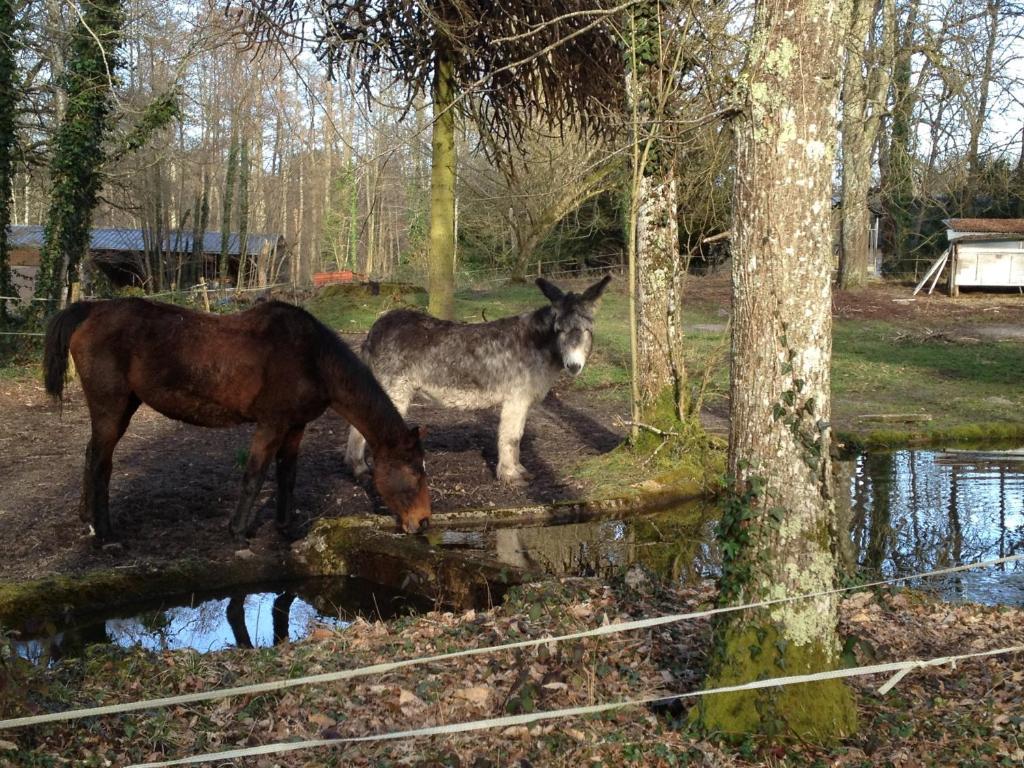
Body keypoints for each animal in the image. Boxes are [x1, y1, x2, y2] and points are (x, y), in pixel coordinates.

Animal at [43, 296, 428, 544]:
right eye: (413, 474)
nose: (423, 523)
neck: (312, 359)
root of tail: (91, 309)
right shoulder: (271, 425)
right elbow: (254, 476)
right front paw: (239, 531)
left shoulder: (295, 427)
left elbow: (287, 476)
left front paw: (285, 529)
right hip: (111, 407)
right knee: (100, 463)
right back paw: (106, 534)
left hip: (122, 407)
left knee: (92, 455)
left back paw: (88, 520)